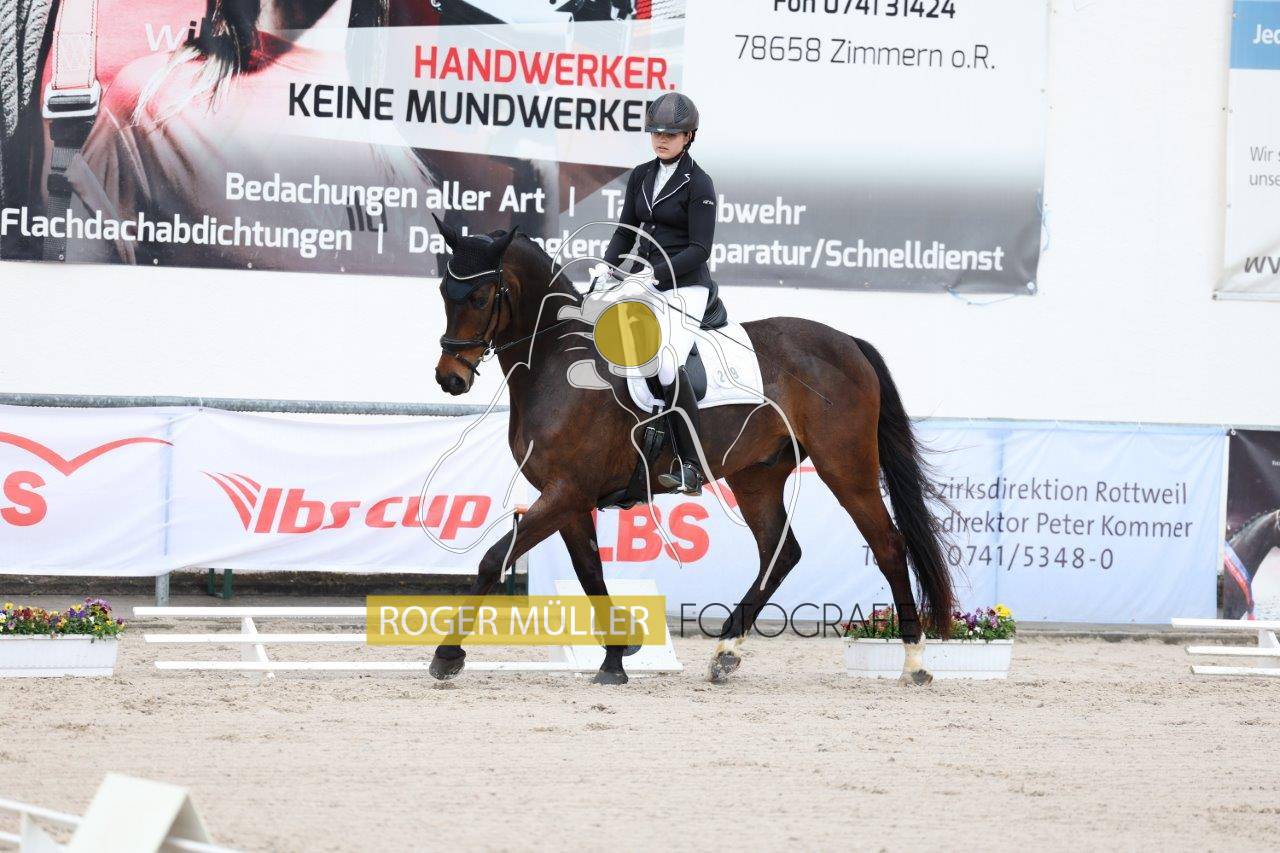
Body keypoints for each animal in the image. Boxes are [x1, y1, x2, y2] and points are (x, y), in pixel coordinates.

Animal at [426, 219, 955, 685]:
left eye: (479, 296)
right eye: (444, 293)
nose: (450, 378)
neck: (556, 363)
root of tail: (848, 343)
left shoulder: (566, 492)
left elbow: (495, 558)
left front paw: (448, 656)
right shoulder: (569, 498)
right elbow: (590, 573)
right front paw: (617, 656)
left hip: (846, 466)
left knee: (888, 545)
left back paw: (914, 663)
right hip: (757, 474)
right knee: (781, 552)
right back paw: (725, 653)